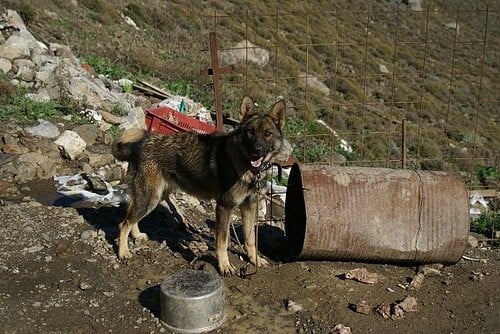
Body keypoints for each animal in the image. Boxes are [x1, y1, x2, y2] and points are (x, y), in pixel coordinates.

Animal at [112, 95, 288, 276]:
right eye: (250, 132)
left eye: (268, 134)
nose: (257, 151)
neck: (248, 168)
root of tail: (139, 146)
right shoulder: (224, 207)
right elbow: (223, 241)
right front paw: (224, 265)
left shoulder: (249, 207)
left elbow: (250, 238)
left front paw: (255, 260)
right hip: (150, 198)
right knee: (123, 223)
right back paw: (123, 251)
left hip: (151, 197)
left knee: (129, 215)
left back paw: (137, 235)